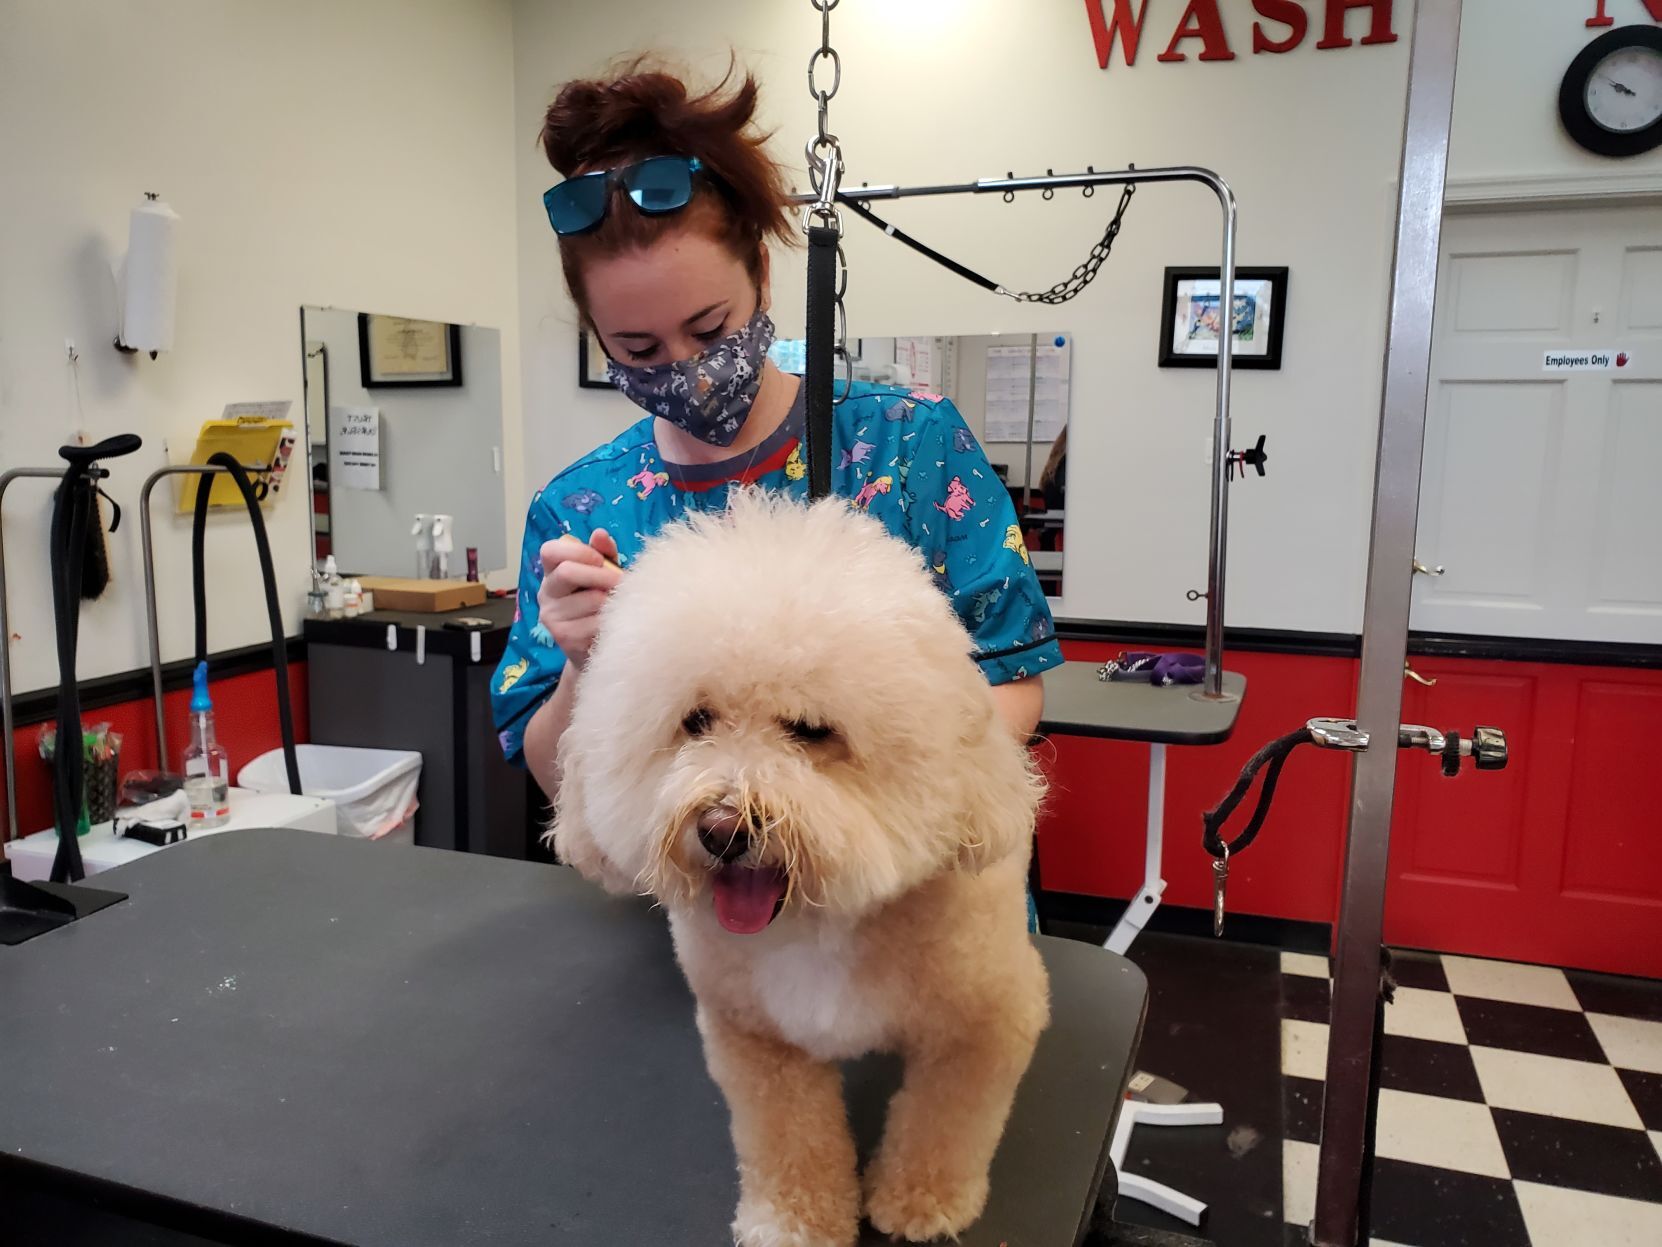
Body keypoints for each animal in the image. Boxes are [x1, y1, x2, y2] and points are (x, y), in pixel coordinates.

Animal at [558, 492, 1050, 1243]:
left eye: (812, 730)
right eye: (696, 720)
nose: (723, 828)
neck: (820, 924)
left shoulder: (988, 1023)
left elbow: (945, 1122)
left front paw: (920, 1201)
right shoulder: (756, 1039)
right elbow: (789, 1138)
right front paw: (793, 1220)